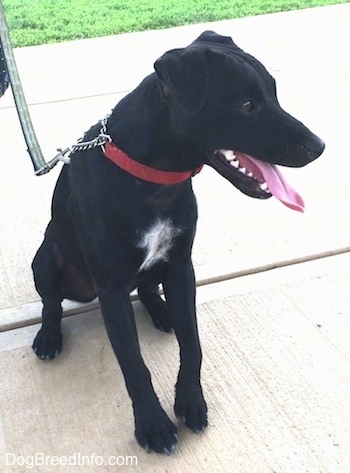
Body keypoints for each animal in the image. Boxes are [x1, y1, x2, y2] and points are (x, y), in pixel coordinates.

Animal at [31, 31, 324, 452]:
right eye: (247, 105)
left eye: (273, 93)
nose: (319, 146)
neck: (152, 179)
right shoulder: (112, 288)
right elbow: (134, 366)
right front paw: (152, 424)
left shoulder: (181, 267)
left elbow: (192, 343)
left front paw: (190, 400)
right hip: (45, 259)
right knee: (52, 303)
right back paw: (49, 335)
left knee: (147, 287)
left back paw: (161, 311)